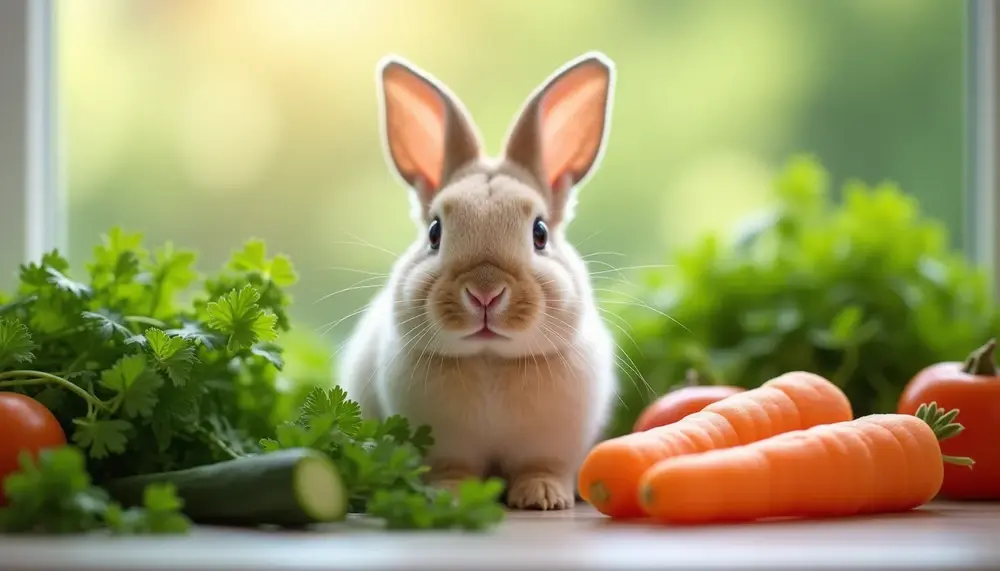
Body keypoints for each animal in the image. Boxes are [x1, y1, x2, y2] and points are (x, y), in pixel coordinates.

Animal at [338, 51, 619, 511]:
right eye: (435, 232)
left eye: (540, 233)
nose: (485, 293)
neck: (490, 361)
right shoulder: (445, 447)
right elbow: (452, 470)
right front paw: (451, 497)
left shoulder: (551, 447)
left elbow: (541, 467)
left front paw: (543, 498)